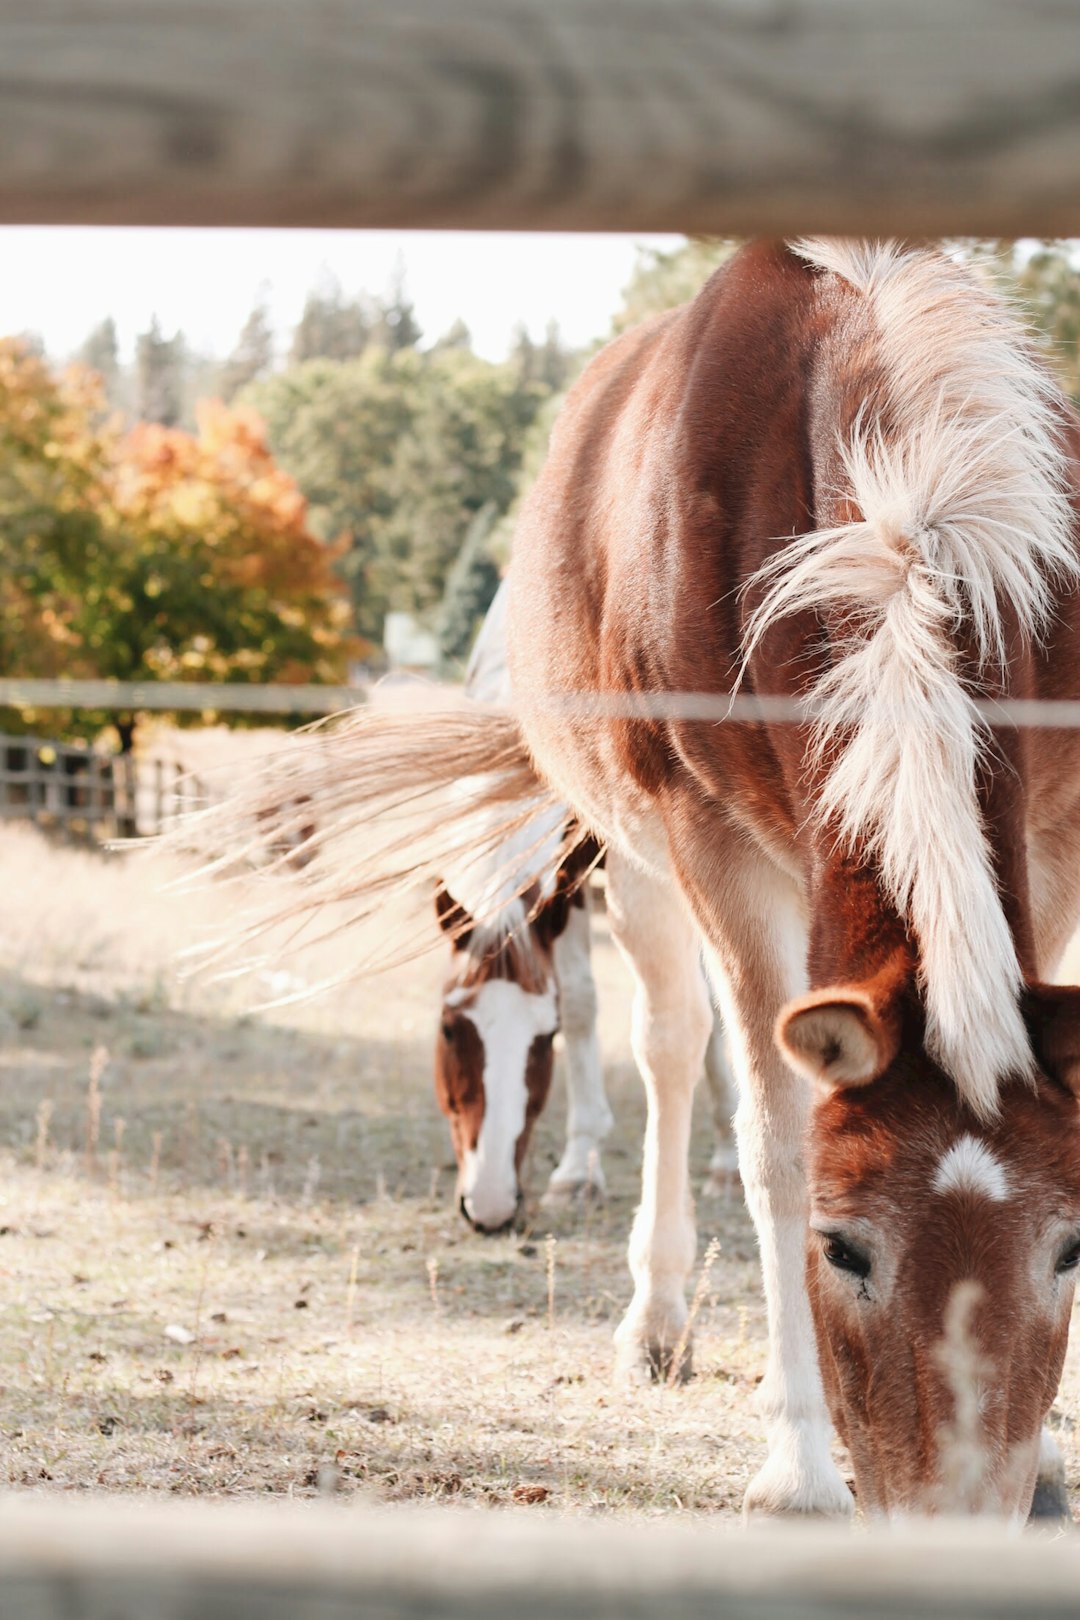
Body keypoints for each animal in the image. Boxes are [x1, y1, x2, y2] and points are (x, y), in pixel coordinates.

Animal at [508, 239, 1080, 1516]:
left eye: (1073, 1248)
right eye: (842, 1245)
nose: (958, 1522)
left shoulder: (1059, 835)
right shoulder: (711, 840)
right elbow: (774, 1137)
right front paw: (798, 1467)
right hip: (633, 845)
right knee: (675, 1046)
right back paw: (657, 1318)